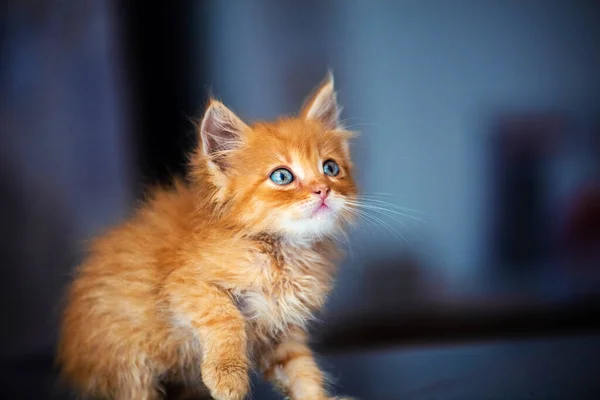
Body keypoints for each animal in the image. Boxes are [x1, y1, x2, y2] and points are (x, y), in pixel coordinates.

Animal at [57, 75, 356, 400]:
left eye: (330, 168)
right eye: (282, 176)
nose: (323, 190)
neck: (281, 249)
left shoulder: (282, 328)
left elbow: (301, 369)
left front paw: (316, 395)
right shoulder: (182, 284)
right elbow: (225, 315)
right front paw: (227, 376)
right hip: (126, 362)